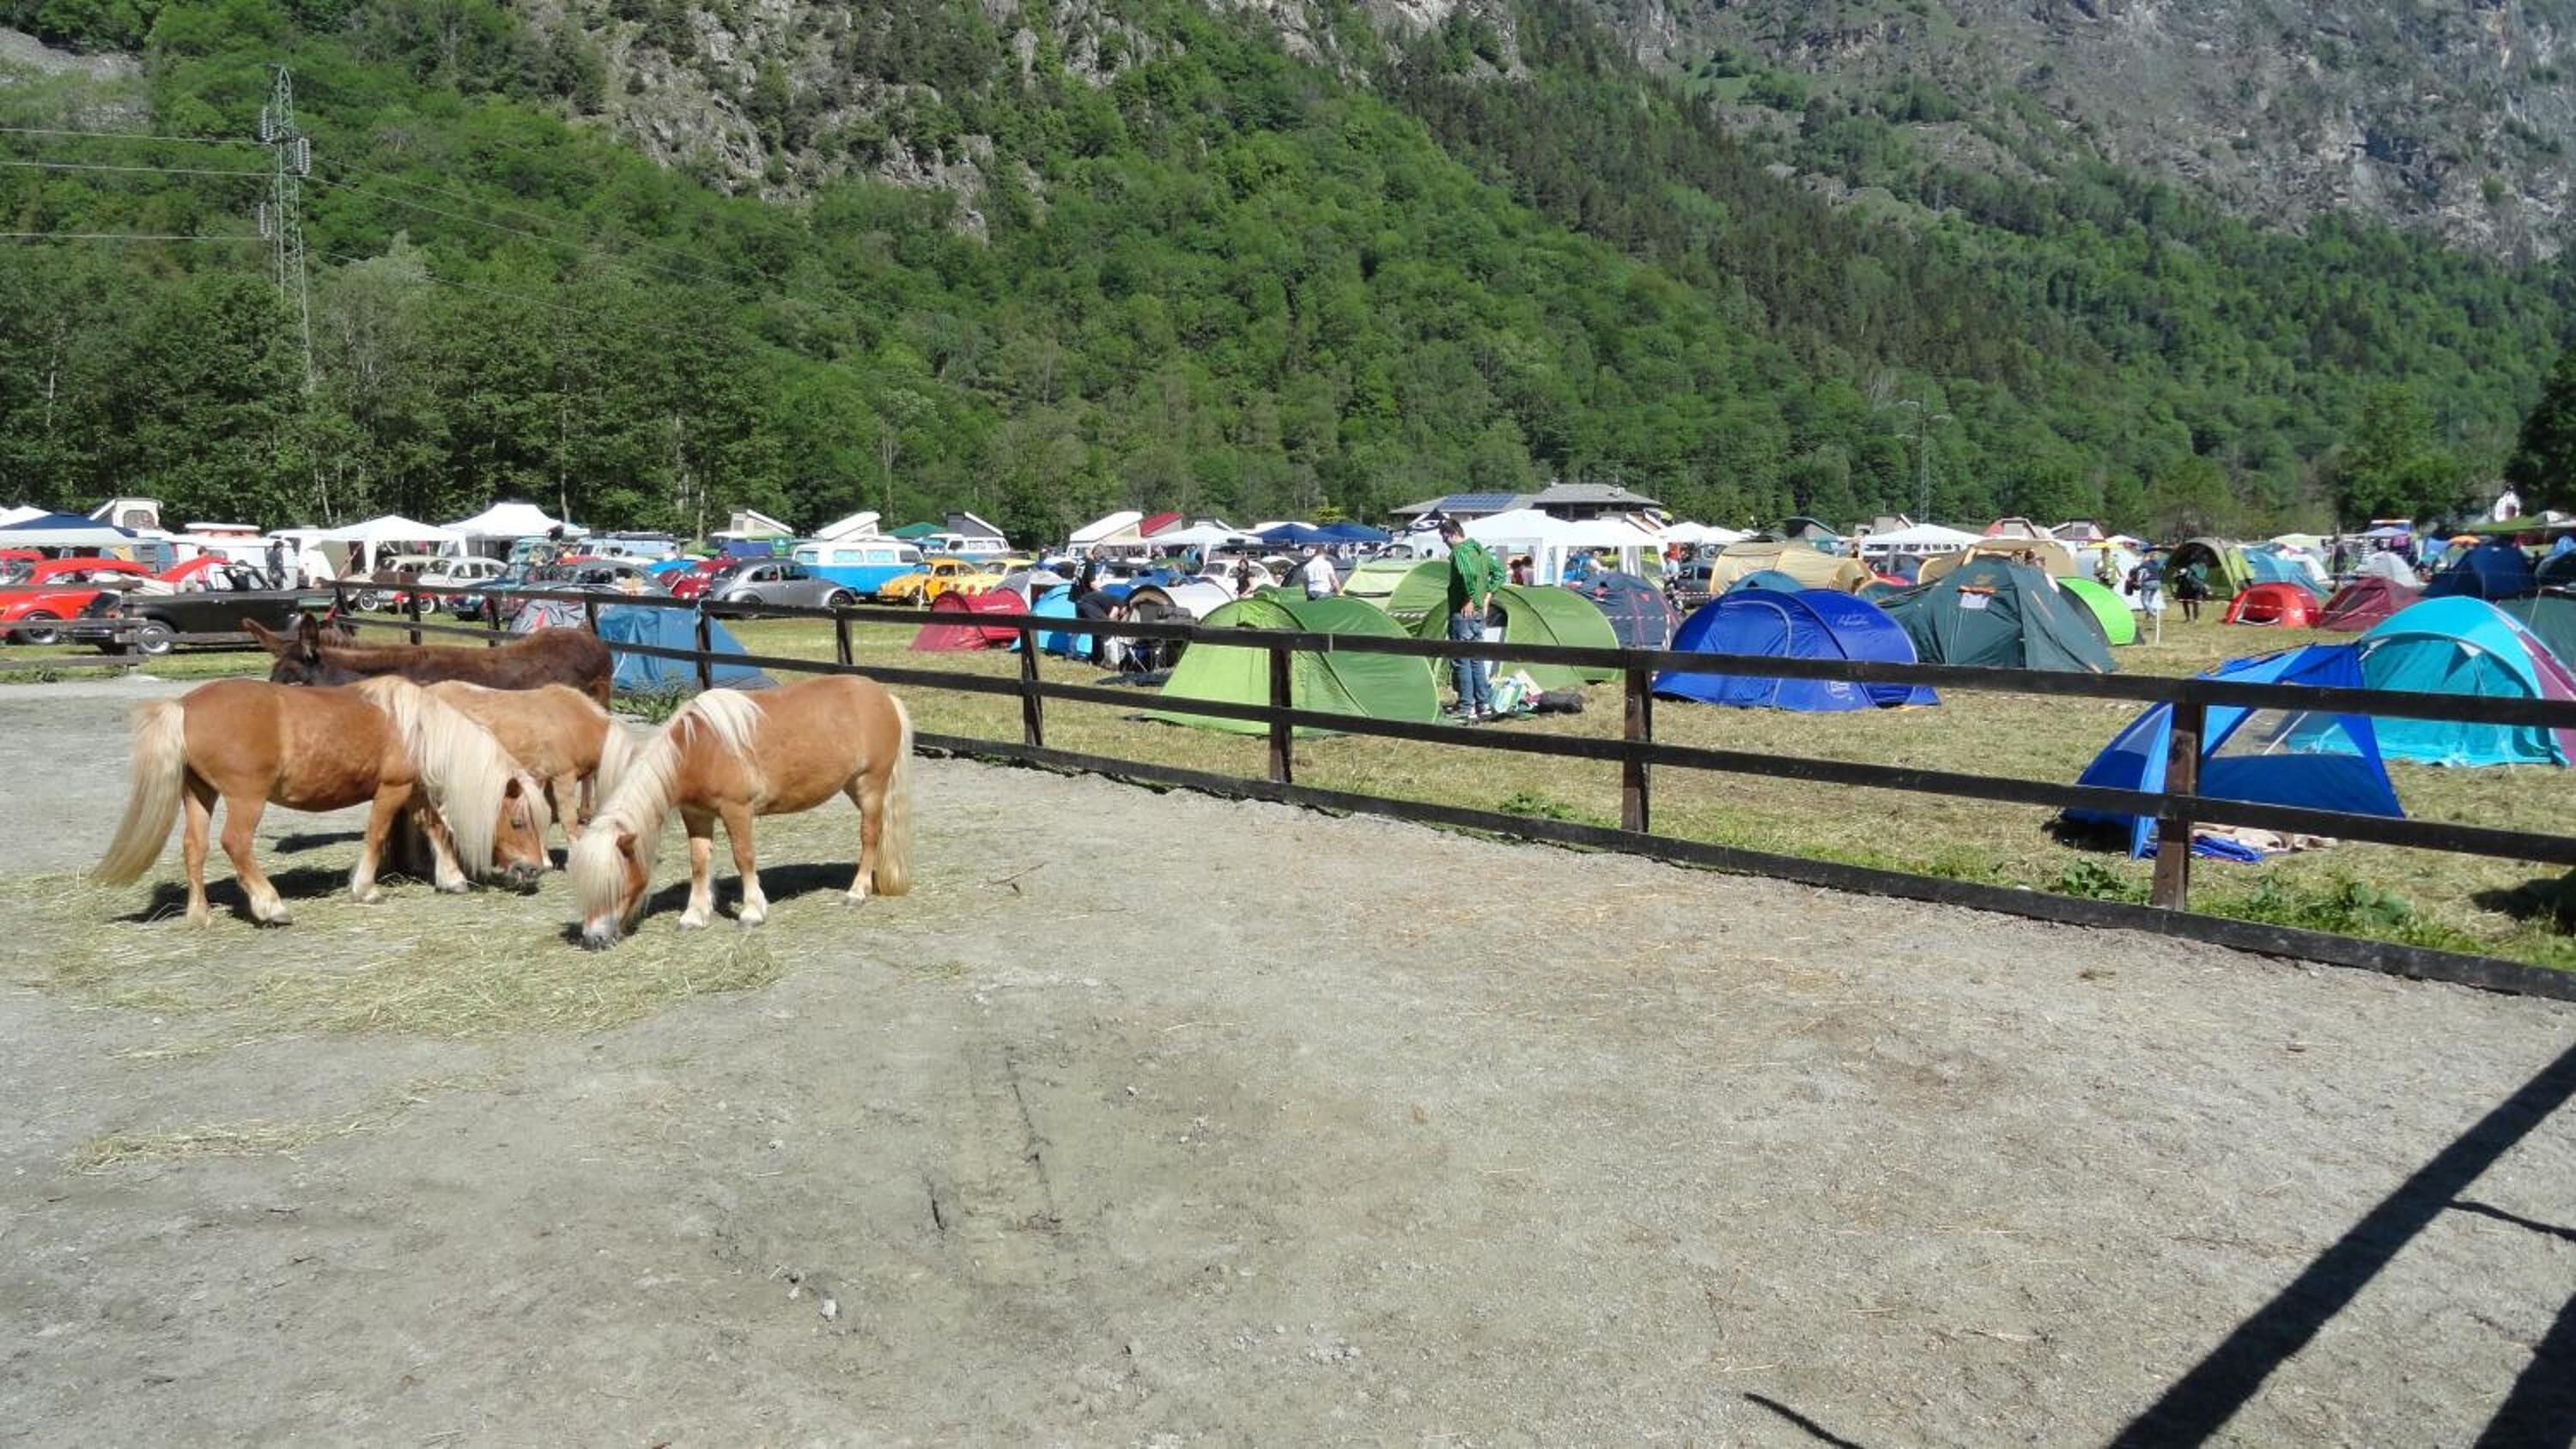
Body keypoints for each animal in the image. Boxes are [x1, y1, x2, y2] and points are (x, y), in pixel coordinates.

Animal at [94, 676, 552, 925]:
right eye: (518, 822)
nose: (535, 869)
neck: (418, 728)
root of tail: (184, 705)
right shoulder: (392, 789)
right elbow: (376, 835)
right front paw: (365, 889)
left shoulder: (415, 790)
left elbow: (436, 829)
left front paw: (452, 878)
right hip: (245, 799)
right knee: (235, 844)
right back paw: (270, 906)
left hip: (199, 793)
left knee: (196, 847)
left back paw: (199, 913)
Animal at [569, 675, 912, 948]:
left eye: (615, 882)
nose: (593, 939)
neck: (699, 749)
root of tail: (885, 696)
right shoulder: (696, 815)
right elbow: (699, 863)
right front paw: (694, 915)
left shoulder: (737, 811)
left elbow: (743, 857)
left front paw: (751, 912)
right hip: (854, 787)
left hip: (871, 786)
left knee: (869, 836)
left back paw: (857, 892)